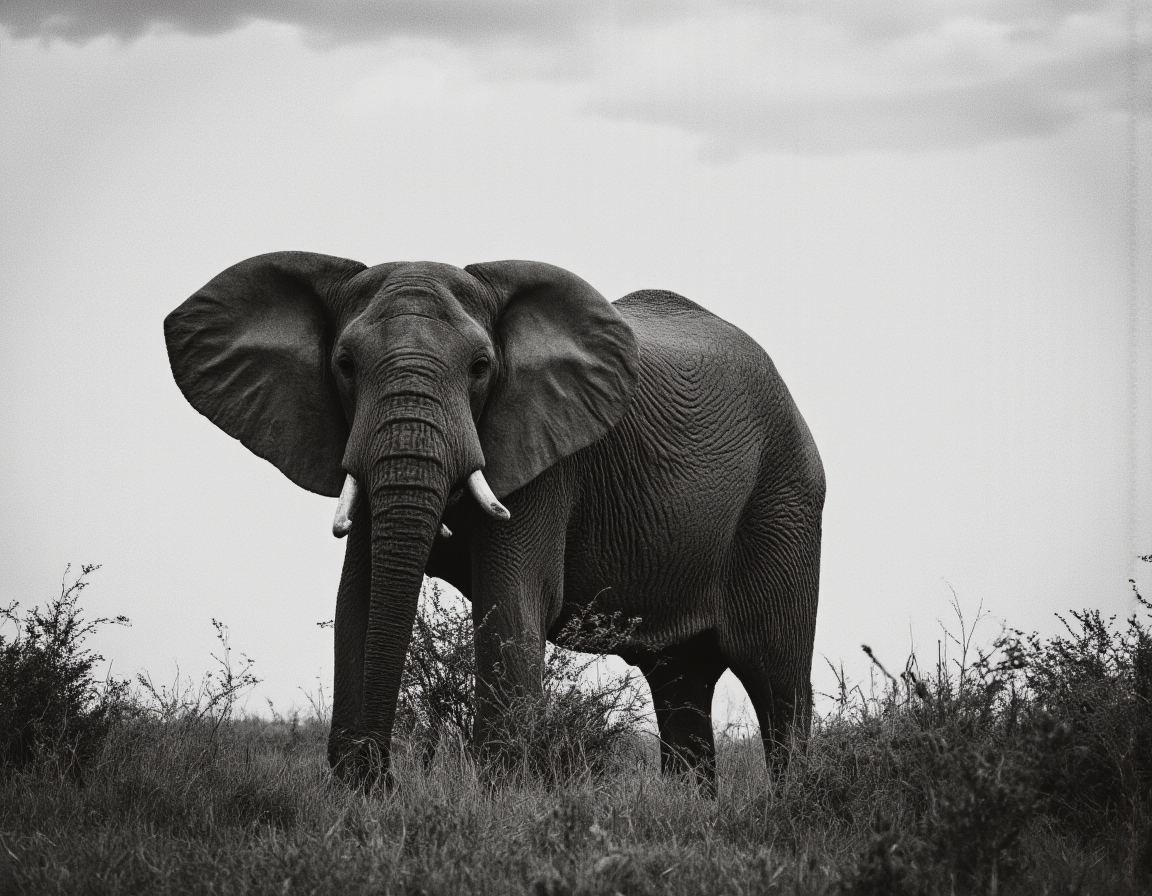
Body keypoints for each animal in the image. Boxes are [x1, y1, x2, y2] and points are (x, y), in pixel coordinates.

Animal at [164, 253, 825, 791]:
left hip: (785, 500)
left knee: (775, 677)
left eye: (481, 366)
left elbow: (512, 600)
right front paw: (359, 800)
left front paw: (499, 805)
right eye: (345, 365)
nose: (387, 783)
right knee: (681, 683)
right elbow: (360, 597)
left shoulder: (546, 462)